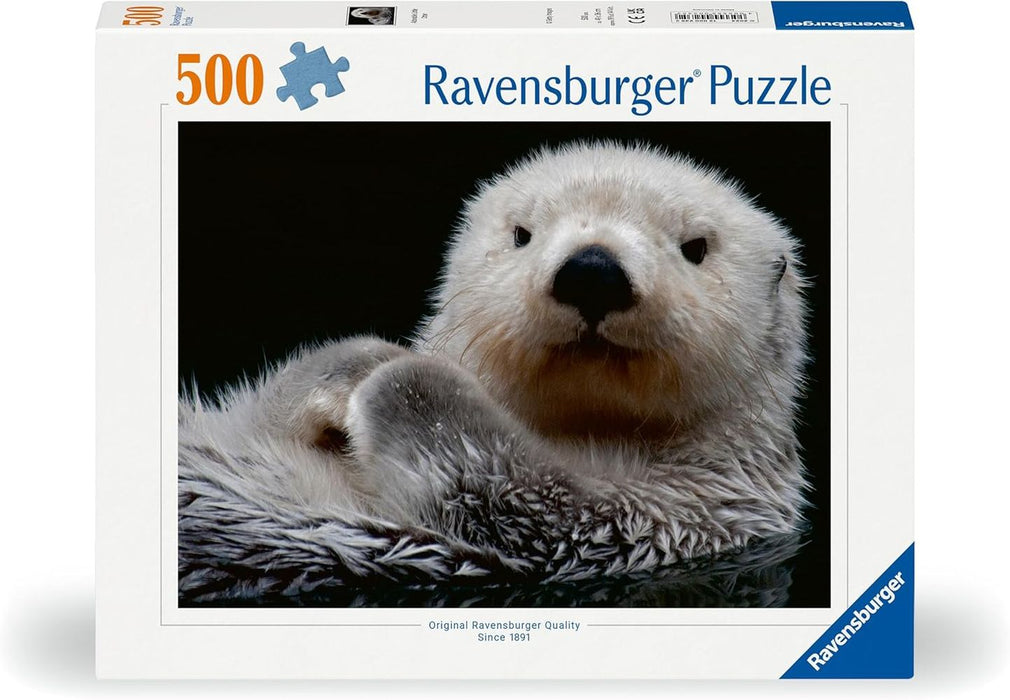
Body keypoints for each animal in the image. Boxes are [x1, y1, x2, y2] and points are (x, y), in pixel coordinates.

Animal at [178, 142, 809, 600]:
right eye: (522, 234)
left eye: (696, 246)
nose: (593, 271)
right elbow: (265, 409)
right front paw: (356, 365)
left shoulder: (670, 516)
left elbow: (509, 490)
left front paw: (398, 376)